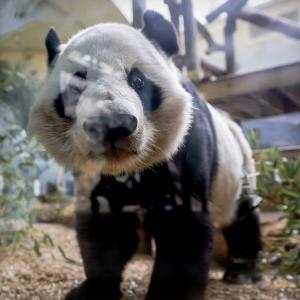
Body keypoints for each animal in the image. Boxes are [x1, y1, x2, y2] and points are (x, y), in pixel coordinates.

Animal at [29, 9, 262, 300]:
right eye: (75, 87)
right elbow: (106, 225)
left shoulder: (186, 145)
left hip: (239, 168)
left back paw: (241, 272)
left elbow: (182, 226)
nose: (112, 124)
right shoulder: (94, 175)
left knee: (244, 216)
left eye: (137, 80)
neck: (127, 168)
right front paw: (93, 290)